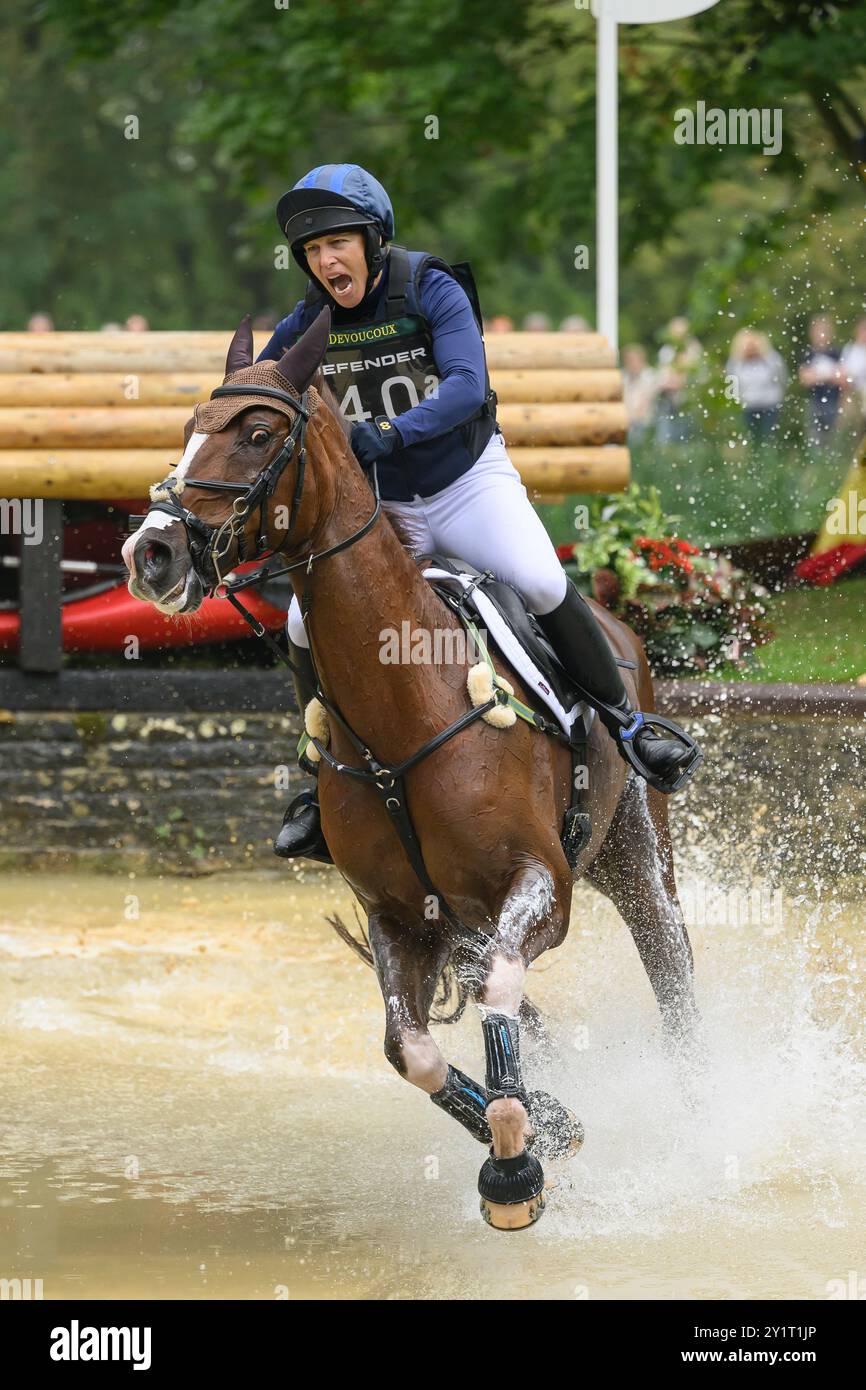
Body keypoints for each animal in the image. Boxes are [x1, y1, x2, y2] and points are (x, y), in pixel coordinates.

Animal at [125, 312, 700, 1228]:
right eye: (186, 428)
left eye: (258, 434)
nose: (150, 553)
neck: (406, 715)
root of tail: (620, 624)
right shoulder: (401, 917)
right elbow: (413, 1048)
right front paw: (538, 1128)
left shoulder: (542, 886)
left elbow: (498, 989)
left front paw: (514, 1164)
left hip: (634, 854)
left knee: (671, 976)